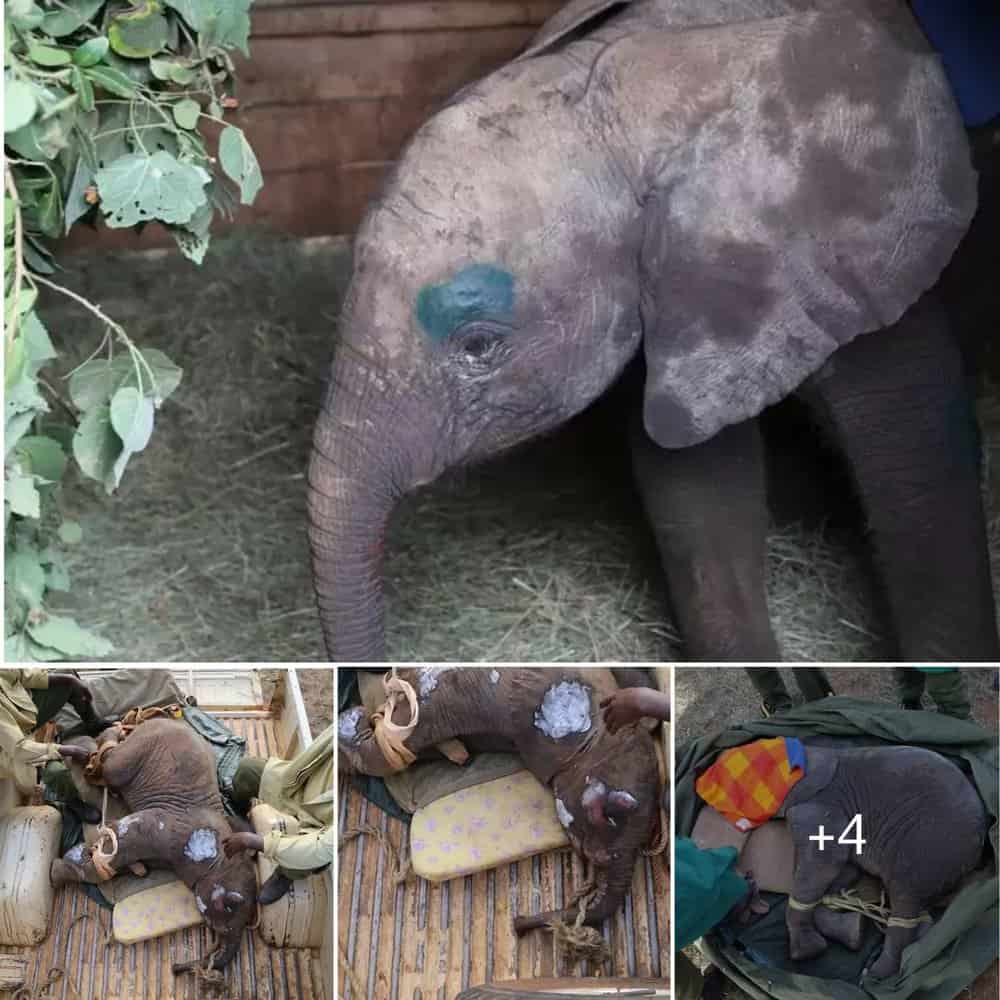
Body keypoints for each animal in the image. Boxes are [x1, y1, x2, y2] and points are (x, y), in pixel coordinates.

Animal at [49, 718, 258, 972]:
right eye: (227, 910)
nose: (176, 968)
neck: (219, 858)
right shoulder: (169, 828)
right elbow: (120, 844)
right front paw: (59, 872)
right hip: (139, 748)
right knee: (111, 767)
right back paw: (104, 740)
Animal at [778, 743, 988, 978]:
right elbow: (844, 871)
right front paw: (854, 932)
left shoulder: (820, 803)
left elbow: (826, 860)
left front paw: (806, 952)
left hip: (926, 844)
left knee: (904, 894)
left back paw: (877, 972)